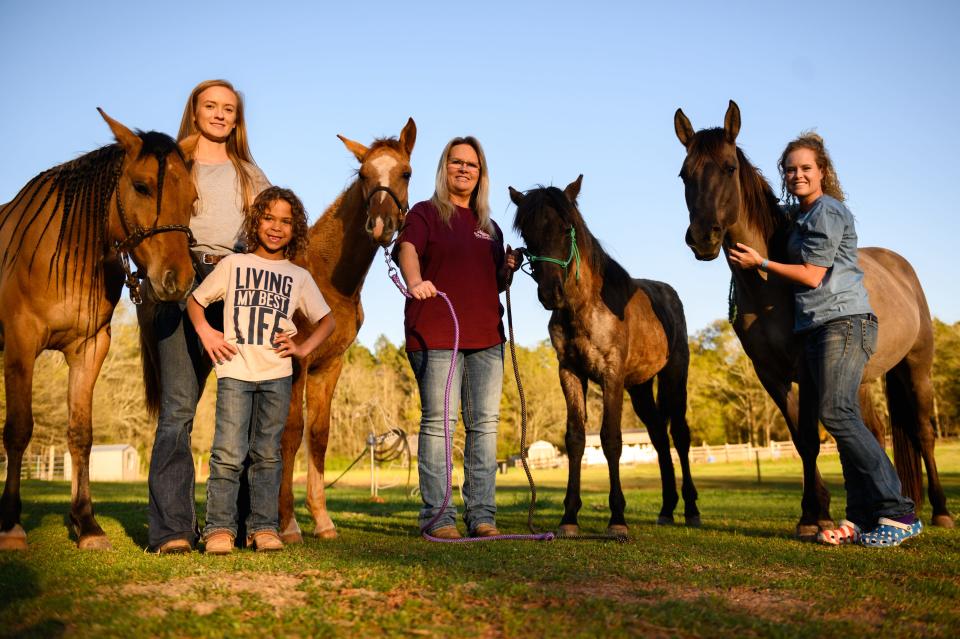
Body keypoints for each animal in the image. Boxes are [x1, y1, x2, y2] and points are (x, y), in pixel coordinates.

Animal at [0, 110, 198, 552]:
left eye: (193, 198)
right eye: (141, 186)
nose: (178, 280)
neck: (67, 253)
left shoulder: (90, 349)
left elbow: (81, 434)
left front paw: (87, 524)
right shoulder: (20, 344)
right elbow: (18, 429)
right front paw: (10, 525)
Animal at [510, 176, 696, 536]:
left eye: (566, 227)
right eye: (526, 234)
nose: (549, 293)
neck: (585, 308)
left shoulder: (611, 374)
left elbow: (611, 439)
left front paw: (617, 518)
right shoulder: (570, 372)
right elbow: (575, 439)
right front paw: (569, 517)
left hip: (674, 376)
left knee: (679, 435)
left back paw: (691, 509)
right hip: (639, 388)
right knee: (658, 436)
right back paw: (667, 508)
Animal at [676, 101, 952, 540]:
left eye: (728, 168)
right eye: (685, 174)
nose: (703, 237)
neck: (771, 287)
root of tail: (901, 267)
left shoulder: (806, 368)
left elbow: (809, 436)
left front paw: (814, 514)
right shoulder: (770, 373)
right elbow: (802, 439)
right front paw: (814, 513)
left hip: (917, 367)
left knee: (922, 432)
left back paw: (940, 510)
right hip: (859, 379)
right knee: (872, 431)